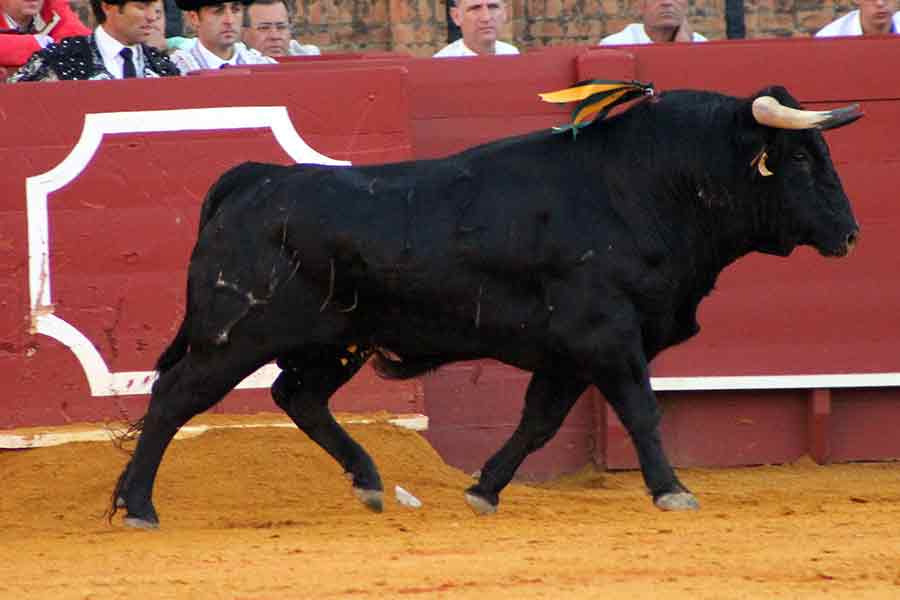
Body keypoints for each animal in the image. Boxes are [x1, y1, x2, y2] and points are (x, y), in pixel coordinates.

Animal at [109, 86, 860, 528]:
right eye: (799, 159)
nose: (850, 234)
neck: (648, 186)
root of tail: (253, 180)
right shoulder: (610, 336)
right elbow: (641, 411)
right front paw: (672, 490)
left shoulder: (570, 354)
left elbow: (537, 423)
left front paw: (484, 490)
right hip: (236, 335)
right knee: (175, 396)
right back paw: (139, 505)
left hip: (335, 341)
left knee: (299, 397)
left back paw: (369, 483)